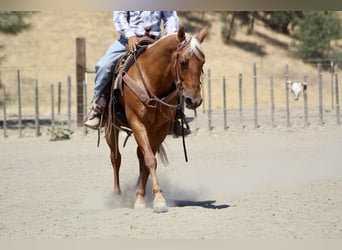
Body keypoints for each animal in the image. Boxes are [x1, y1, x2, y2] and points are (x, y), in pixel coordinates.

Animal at [104, 26, 207, 212]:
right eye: (183, 62)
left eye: (202, 62)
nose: (194, 101)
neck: (151, 80)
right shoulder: (137, 122)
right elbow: (150, 160)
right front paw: (159, 199)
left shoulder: (161, 128)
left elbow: (148, 160)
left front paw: (141, 197)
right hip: (111, 127)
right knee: (115, 157)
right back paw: (116, 196)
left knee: (140, 155)